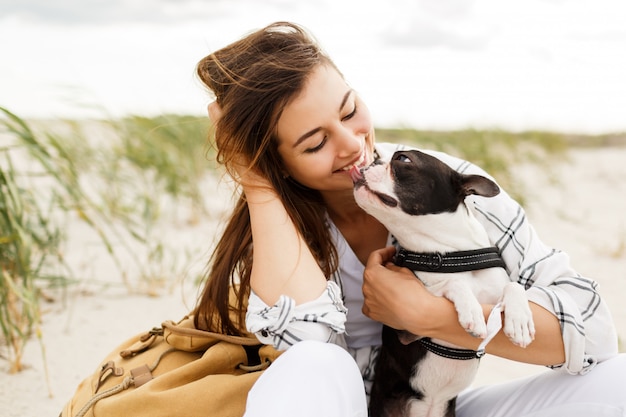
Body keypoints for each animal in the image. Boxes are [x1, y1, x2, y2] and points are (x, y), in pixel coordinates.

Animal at [348, 150, 532, 416]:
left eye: (402, 159)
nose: (372, 160)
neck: (450, 253)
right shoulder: (407, 328)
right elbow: (452, 284)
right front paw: (472, 312)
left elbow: (514, 286)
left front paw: (520, 322)